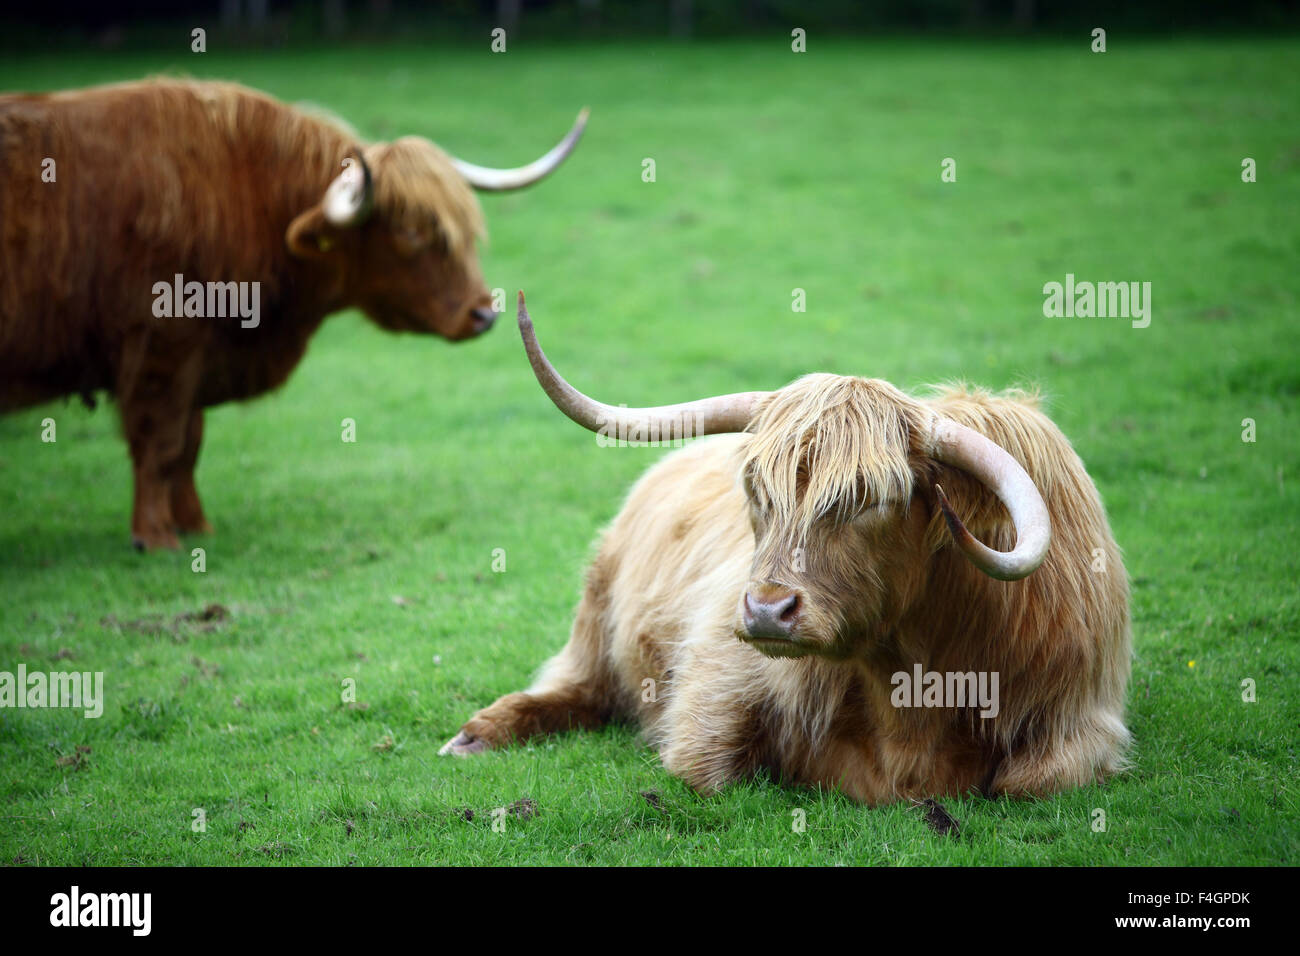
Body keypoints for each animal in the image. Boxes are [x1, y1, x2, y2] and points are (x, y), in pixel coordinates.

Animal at [0, 78, 587, 548]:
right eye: (411, 232)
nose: (482, 315)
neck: (246, 191)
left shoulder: (195, 359)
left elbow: (189, 443)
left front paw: (196, 526)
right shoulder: (160, 347)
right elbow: (161, 443)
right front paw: (157, 536)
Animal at [441, 295, 1133, 806]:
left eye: (874, 499)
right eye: (758, 491)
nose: (767, 611)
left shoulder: (1081, 718)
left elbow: (1034, 781)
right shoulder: (717, 683)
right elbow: (706, 769)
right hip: (595, 619)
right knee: (573, 688)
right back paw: (474, 737)